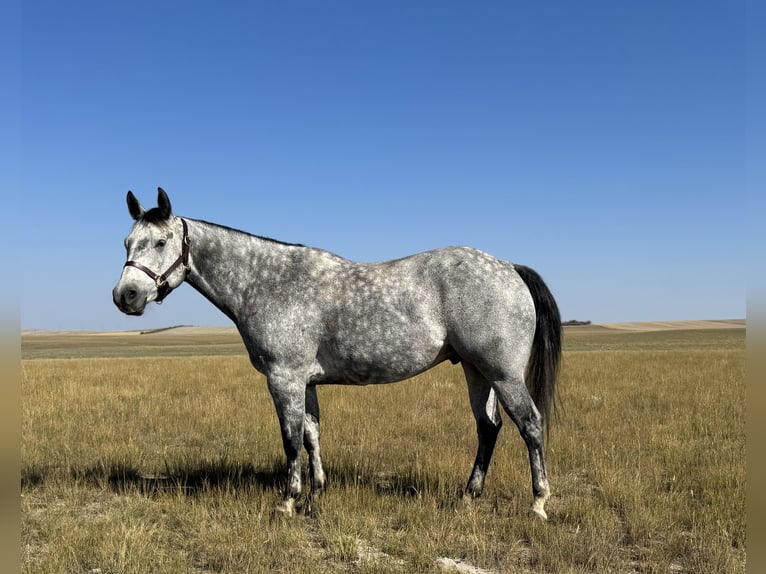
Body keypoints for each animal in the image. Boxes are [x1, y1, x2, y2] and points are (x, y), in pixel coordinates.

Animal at [113, 188, 562, 519]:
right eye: (127, 242)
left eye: (162, 241)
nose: (125, 296)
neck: (267, 282)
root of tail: (509, 267)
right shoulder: (306, 381)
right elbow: (312, 435)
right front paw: (316, 494)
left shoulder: (284, 378)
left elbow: (291, 439)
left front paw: (288, 502)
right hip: (475, 370)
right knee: (488, 427)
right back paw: (469, 495)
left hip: (502, 373)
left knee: (530, 424)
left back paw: (538, 502)